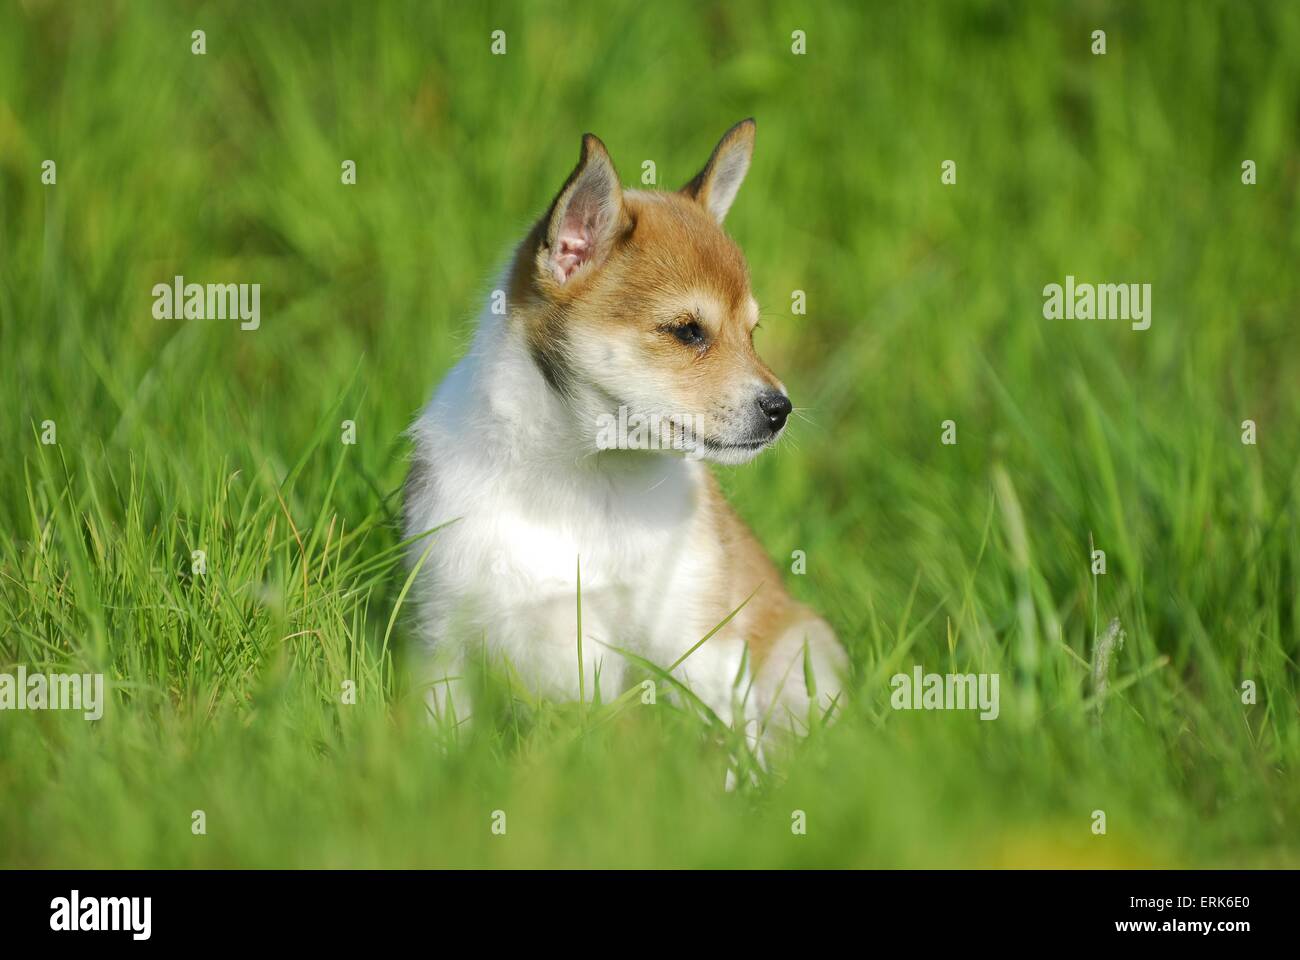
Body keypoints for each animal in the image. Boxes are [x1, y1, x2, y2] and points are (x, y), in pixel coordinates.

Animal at [405, 117, 852, 733]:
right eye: (686, 331)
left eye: (752, 332)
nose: (780, 409)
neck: (580, 482)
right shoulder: (444, 646)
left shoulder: (699, 648)